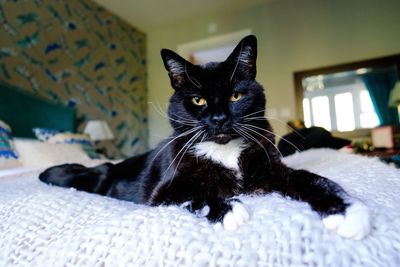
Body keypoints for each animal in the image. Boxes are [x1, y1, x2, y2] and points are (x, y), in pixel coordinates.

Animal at [39, 35, 370, 241]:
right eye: (198, 100)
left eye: (236, 95)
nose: (219, 118)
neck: (225, 151)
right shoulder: (161, 194)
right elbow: (195, 195)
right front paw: (229, 209)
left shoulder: (275, 171)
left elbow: (313, 180)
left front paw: (347, 211)